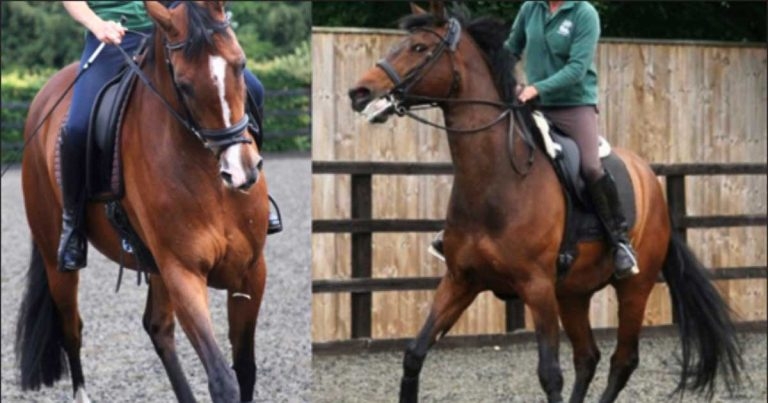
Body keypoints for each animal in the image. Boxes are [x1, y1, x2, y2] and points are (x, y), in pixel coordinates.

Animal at [16, 2, 269, 402]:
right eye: (184, 85)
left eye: (240, 65)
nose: (241, 172)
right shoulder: (183, 272)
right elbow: (223, 379)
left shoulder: (251, 270)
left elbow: (244, 369)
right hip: (58, 261)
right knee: (72, 329)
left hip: (154, 265)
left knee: (157, 327)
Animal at [348, 3, 742, 402]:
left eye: (419, 48)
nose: (359, 92)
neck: (497, 181)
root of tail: (650, 179)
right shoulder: (460, 281)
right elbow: (414, 354)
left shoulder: (536, 288)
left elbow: (550, 374)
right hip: (572, 294)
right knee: (588, 356)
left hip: (635, 287)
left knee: (623, 360)